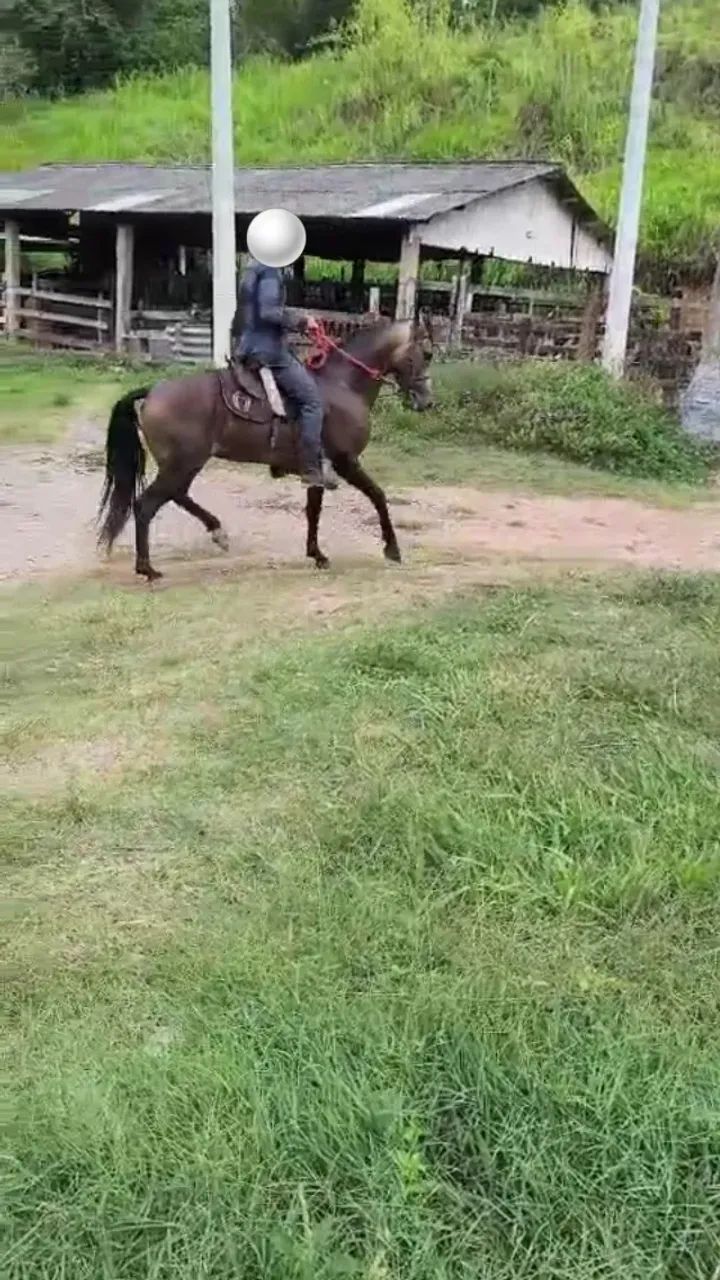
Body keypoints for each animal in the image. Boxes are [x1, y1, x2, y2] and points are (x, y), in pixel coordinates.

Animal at [97, 319, 434, 583]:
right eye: (427, 354)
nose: (427, 401)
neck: (342, 385)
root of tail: (153, 391)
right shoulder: (345, 462)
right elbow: (378, 495)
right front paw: (392, 549)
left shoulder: (317, 468)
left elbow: (313, 510)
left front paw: (317, 554)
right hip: (184, 463)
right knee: (146, 505)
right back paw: (147, 568)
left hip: (182, 464)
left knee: (177, 495)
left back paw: (216, 531)